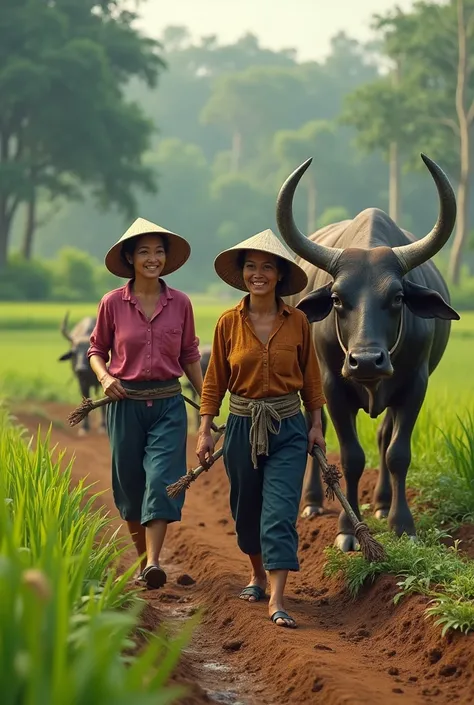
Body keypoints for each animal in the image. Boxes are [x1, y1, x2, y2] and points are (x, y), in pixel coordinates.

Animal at [278, 153, 460, 552]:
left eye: (397, 297)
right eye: (336, 298)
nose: (365, 361)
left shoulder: (415, 386)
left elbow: (397, 453)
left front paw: (402, 524)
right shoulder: (332, 386)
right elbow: (350, 456)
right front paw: (348, 529)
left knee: (383, 436)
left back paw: (381, 503)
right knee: (316, 430)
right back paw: (313, 502)